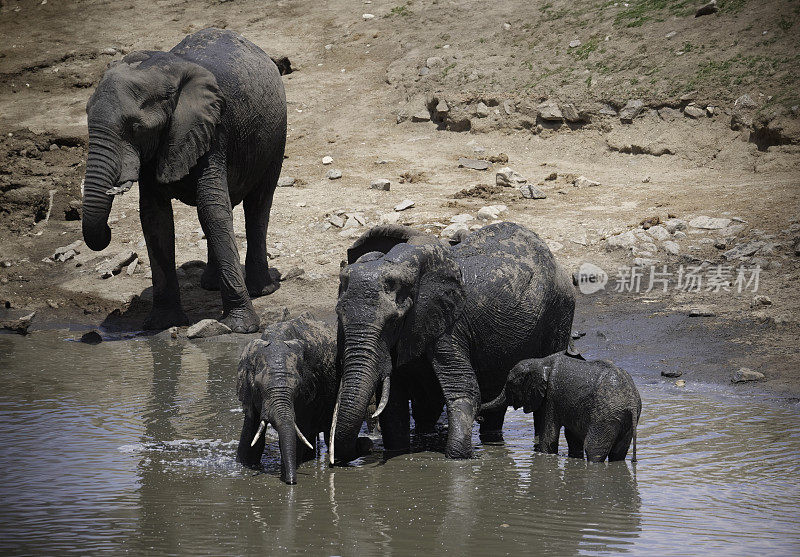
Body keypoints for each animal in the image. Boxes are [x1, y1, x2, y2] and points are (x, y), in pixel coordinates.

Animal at [81, 28, 286, 332]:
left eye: (136, 128)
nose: (107, 231)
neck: (166, 72)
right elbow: (155, 219)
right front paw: (162, 324)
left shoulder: (212, 130)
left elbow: (212, 209)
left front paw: (242, 327)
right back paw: (211, 285)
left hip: (275, 138)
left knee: (258, 204)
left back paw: (261, 290)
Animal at [234, 318, 372, 482]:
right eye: (258, 388)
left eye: (298, 388)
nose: (292, 482)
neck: (277, 337)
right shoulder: (248, 394)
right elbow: (249, 437)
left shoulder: (309, 394)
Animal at [328, 223, 580, 464]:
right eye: (338, 315)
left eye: (393, 321)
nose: (363, 446)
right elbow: (394, 403)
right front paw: (397, 452)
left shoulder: (449, 324)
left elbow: (462, 387)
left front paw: (458, 460)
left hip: (560, 311)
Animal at [478, 352, 640, 460]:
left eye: (511, 384)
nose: (480, 418)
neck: (541, 362)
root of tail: (631, 402)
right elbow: (572, 436)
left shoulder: (551, 398)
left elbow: (549, 436)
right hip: (623, 417)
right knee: (618, 453)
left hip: (605, 415)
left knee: (594, 450)